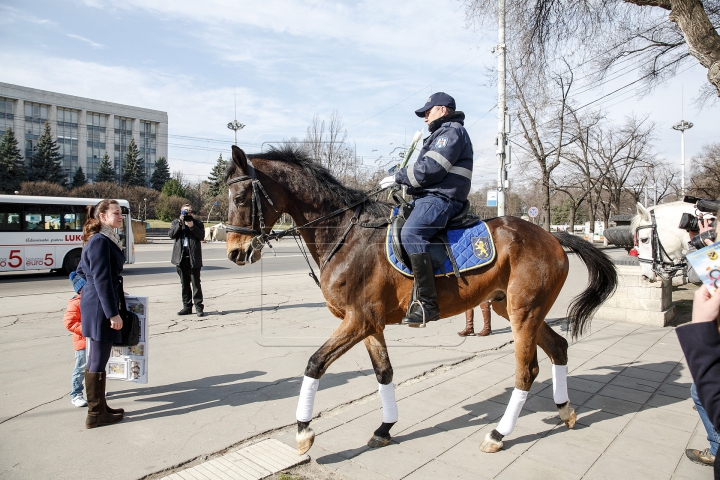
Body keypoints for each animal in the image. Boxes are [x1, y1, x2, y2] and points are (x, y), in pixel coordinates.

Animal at [224, 145, 612, 454]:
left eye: (240, 199)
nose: (234, 253)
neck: (345, 235)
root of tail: (552, 236)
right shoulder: (370, 324)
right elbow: (384, 373)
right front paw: (384, 429)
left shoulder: (358, 320)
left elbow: (314, 363)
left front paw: (304, 431)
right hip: (516, 309)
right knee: (558, 348)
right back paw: (564, 410)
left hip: (524, 313)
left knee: (527, 371)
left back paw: (498, 434)